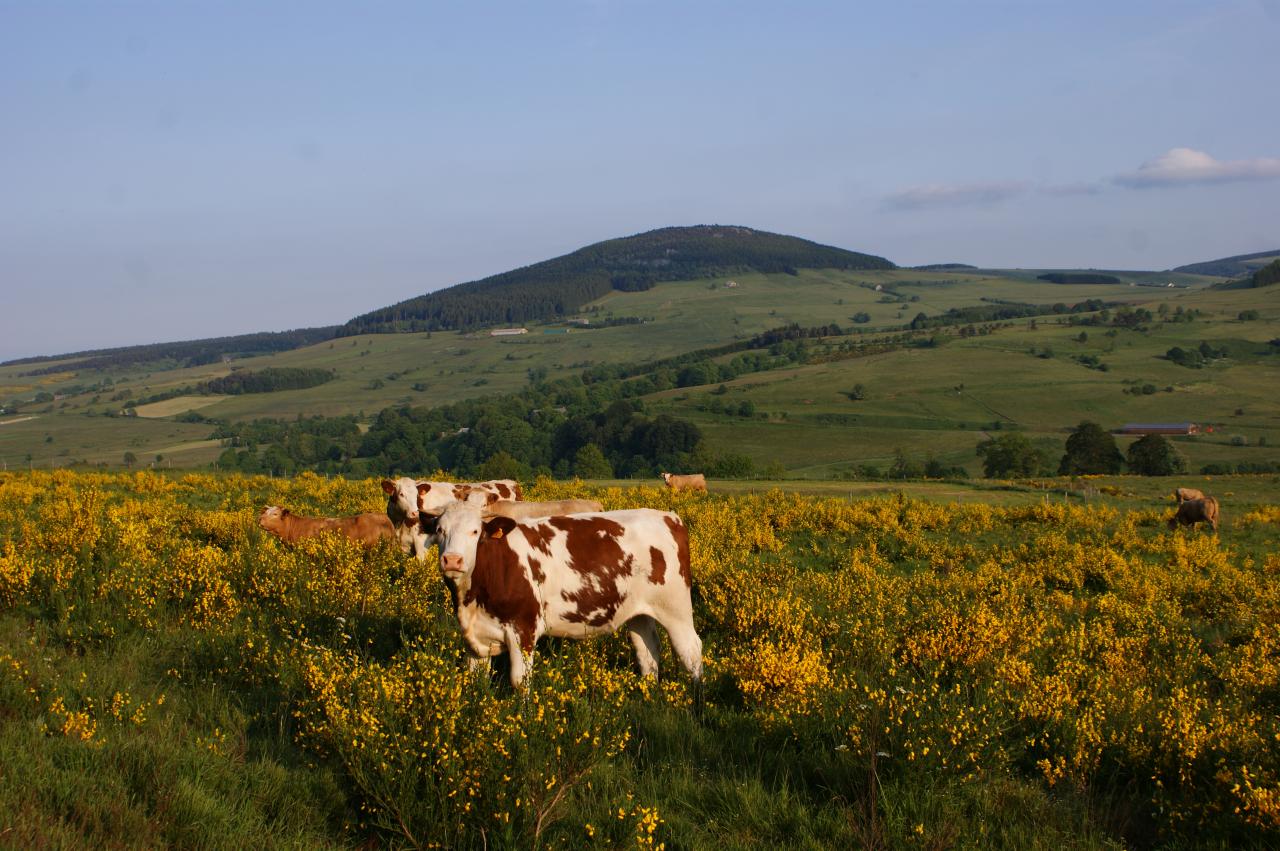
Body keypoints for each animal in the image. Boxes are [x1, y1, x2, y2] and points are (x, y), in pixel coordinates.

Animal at [435, 499, 706, 691]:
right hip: (639, 612)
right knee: (647, 653)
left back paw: (696, 702)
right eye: (439, 530)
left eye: (475, 531)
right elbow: (475, 681)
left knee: (691, 650)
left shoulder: (523, 629)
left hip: (675, 609)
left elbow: (520, 682)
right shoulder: (476, 638)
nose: (452, 560)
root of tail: (668, 516)